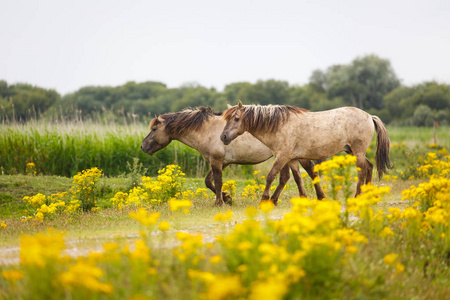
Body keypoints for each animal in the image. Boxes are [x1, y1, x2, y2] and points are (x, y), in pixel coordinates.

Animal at [221, 101, 394, 204]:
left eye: (236, 119)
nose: (223, 137)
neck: (279, 125)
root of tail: (369, 116)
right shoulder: (291, 158)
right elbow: (294, 178)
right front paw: (302, 198)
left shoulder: (282, 157)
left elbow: (272, 176)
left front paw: (265, 200)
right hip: (352, 151)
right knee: (369, 167)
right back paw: (367, 194)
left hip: (357, 152)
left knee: (361, 171)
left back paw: (358, 196)